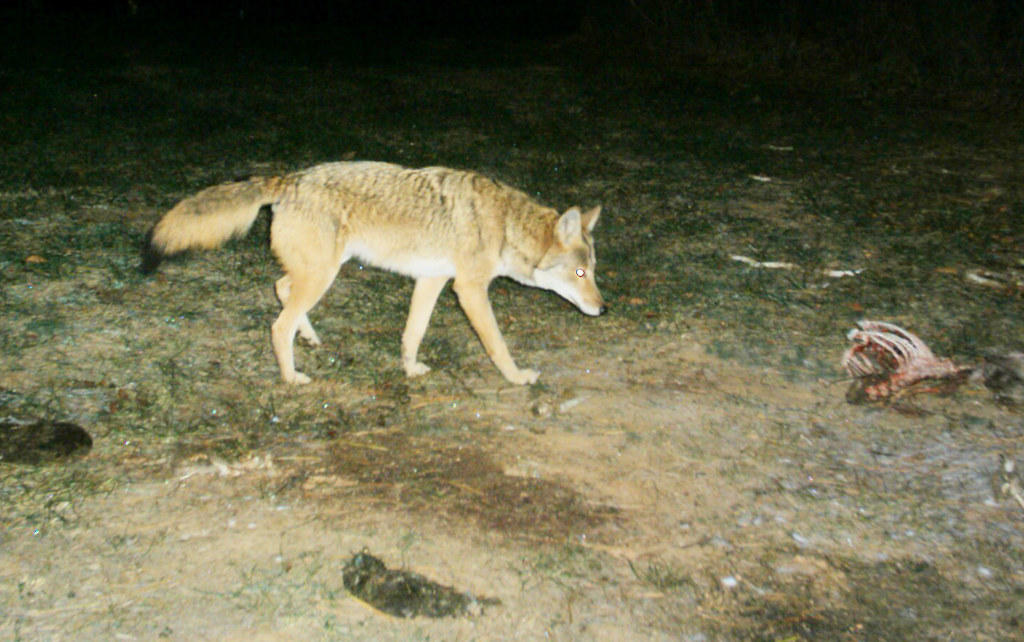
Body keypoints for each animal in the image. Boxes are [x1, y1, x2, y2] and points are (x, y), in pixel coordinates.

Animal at [142, 161, 606, 385]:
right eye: (579, 272)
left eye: (593, 271)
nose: (604, 309)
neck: (507, 224)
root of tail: (290, 179)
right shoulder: (470, 290)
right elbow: (497, 346)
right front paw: (517, 378)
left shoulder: (433, 281)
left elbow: (413, 333)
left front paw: (409, 369)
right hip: (323, 274)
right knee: (278, 324)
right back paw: (291, 377)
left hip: (320, 271)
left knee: (280, 288)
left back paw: (309, 337)